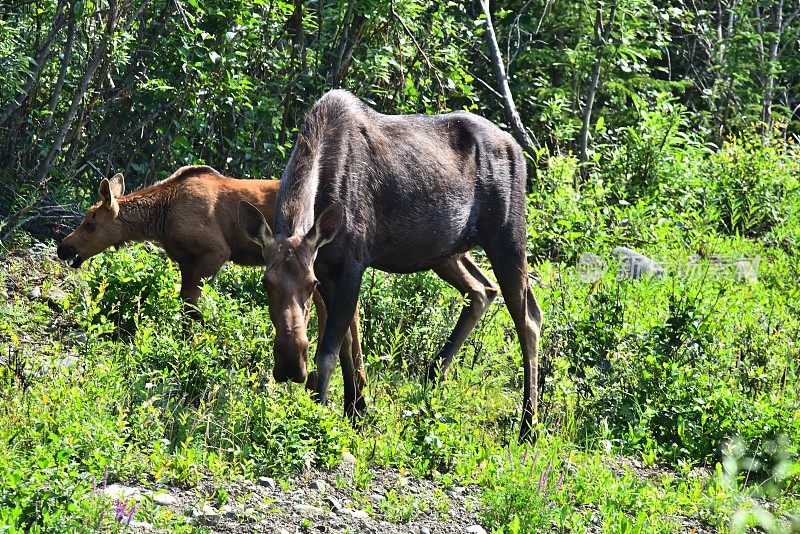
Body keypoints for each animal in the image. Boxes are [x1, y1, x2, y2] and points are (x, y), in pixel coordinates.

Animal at [56, 166, 366, 414]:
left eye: (91, 223)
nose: (64, 248)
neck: (160, 218)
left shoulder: (215, 253)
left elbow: (194, 312)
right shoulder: (186, 262)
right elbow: (186, 310)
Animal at [238, 91, 544, 444]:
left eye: (309, 284)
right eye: (266, 282)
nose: (289, 366)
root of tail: (517, 148)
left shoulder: (351, 263)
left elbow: (327, 351)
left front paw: (317, 417)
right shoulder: (330, 266)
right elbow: (349, 343)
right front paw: (356, 408)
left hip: (508, 235)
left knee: (528, 318)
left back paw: (528, 425)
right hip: (445, 251)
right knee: (482, 289)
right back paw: (433, 378)